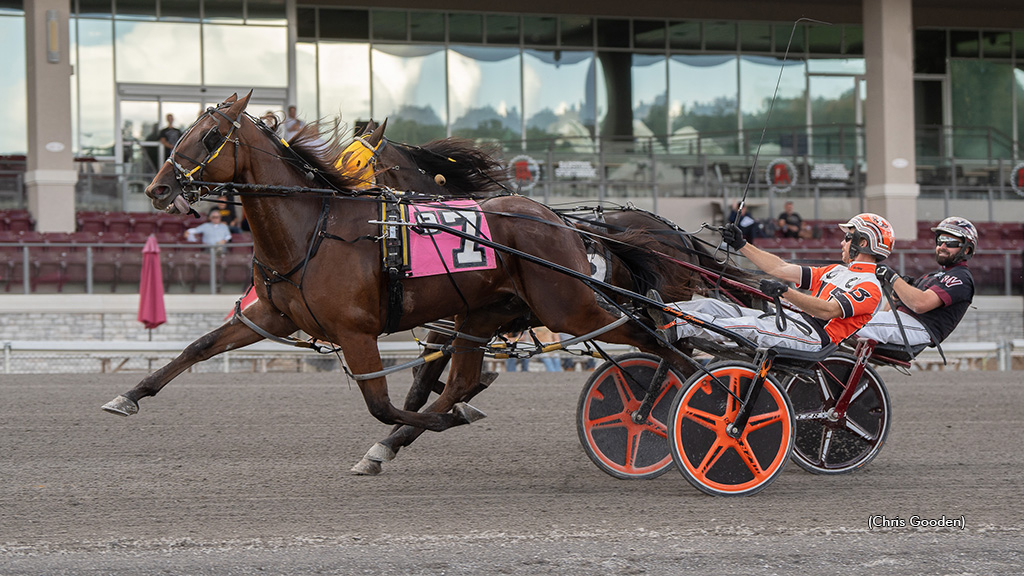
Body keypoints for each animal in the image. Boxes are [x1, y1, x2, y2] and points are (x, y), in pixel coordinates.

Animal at [99, 90, 696, 444]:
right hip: (484, 315)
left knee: (655, 338)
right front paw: (127, 396)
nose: (157, 189)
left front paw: (418, 430)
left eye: (208, 136)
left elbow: (385, 405)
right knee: (467, 376)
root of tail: (559, 221)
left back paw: (690, 395)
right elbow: (198, 347)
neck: (312, 228)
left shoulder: (357, 331)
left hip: (570, 307)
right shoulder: (272, 315)